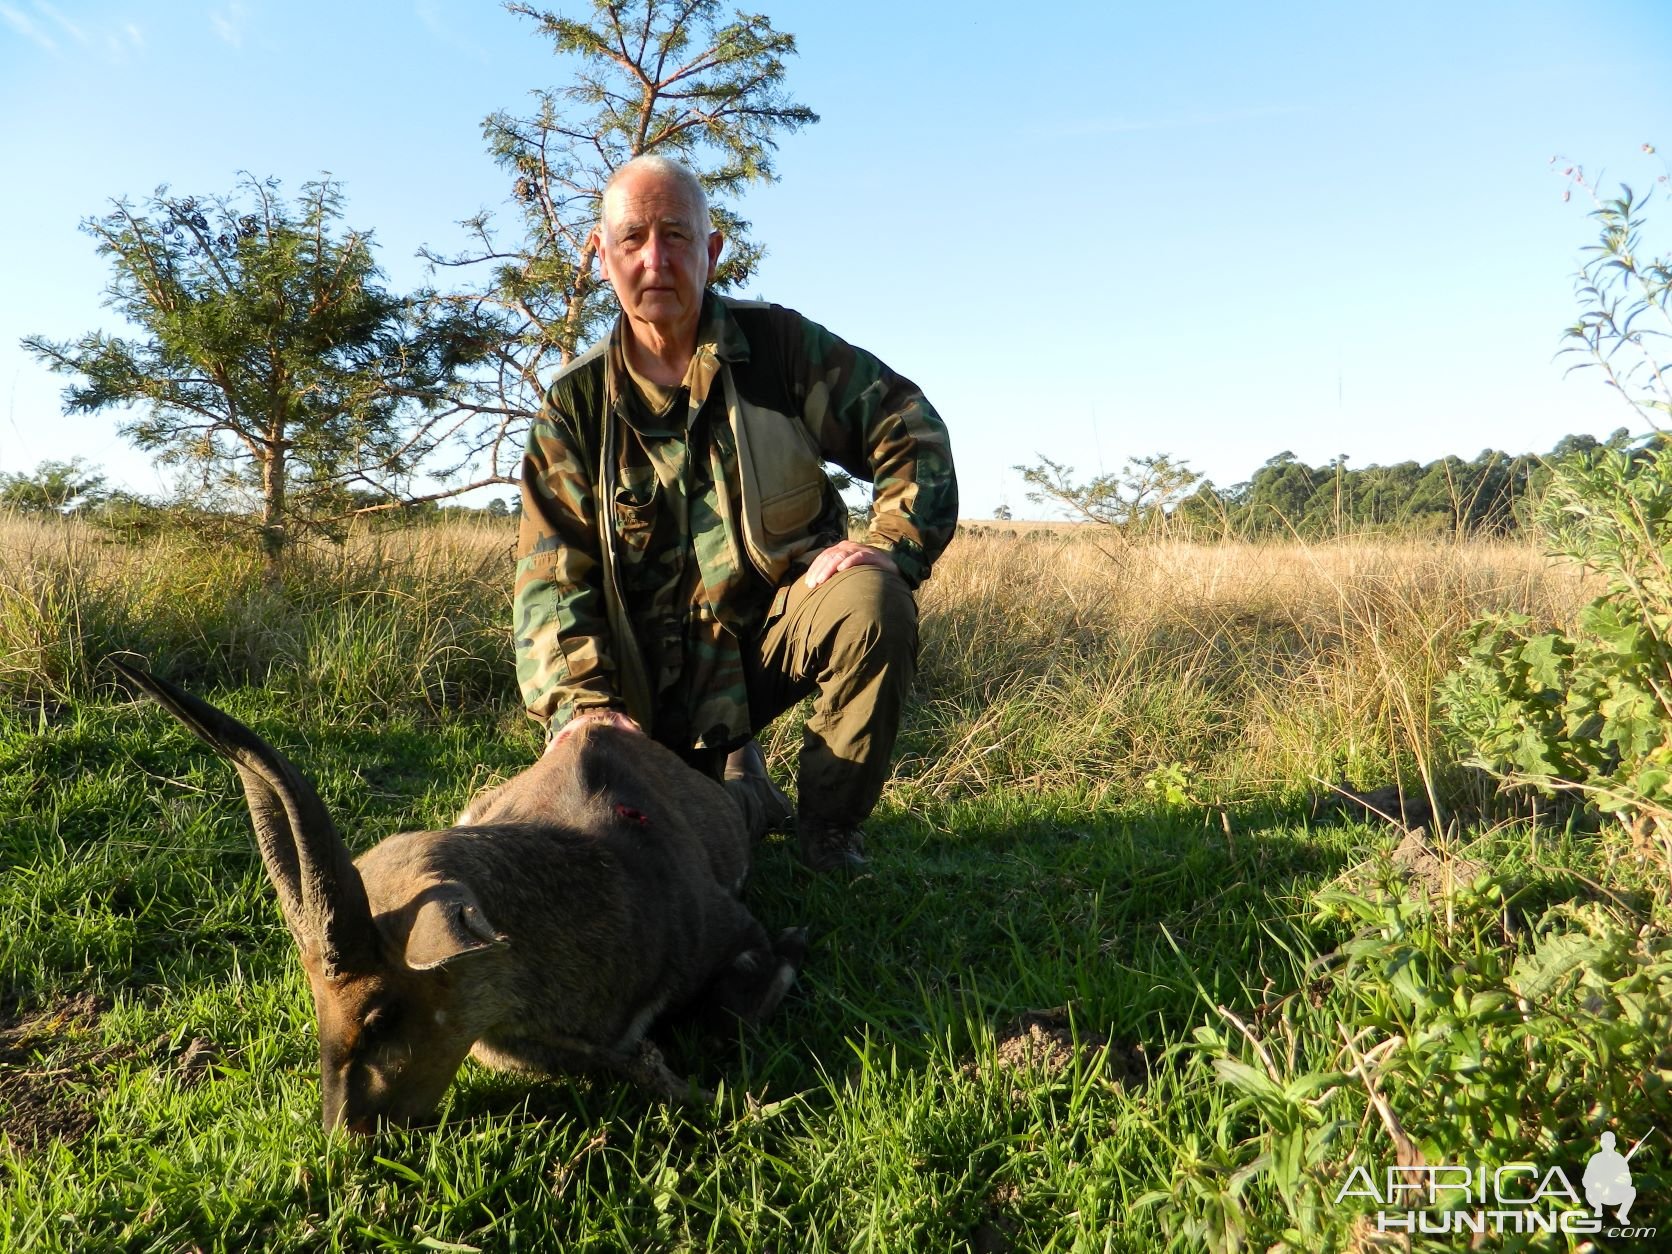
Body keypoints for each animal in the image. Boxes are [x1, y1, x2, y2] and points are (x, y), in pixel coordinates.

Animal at [111, 662, 802, 1136]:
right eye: (316, 1005)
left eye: (381, 1015)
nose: (345, 1134)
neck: (620, 880)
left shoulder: (734, 932)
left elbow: (738, 1009)